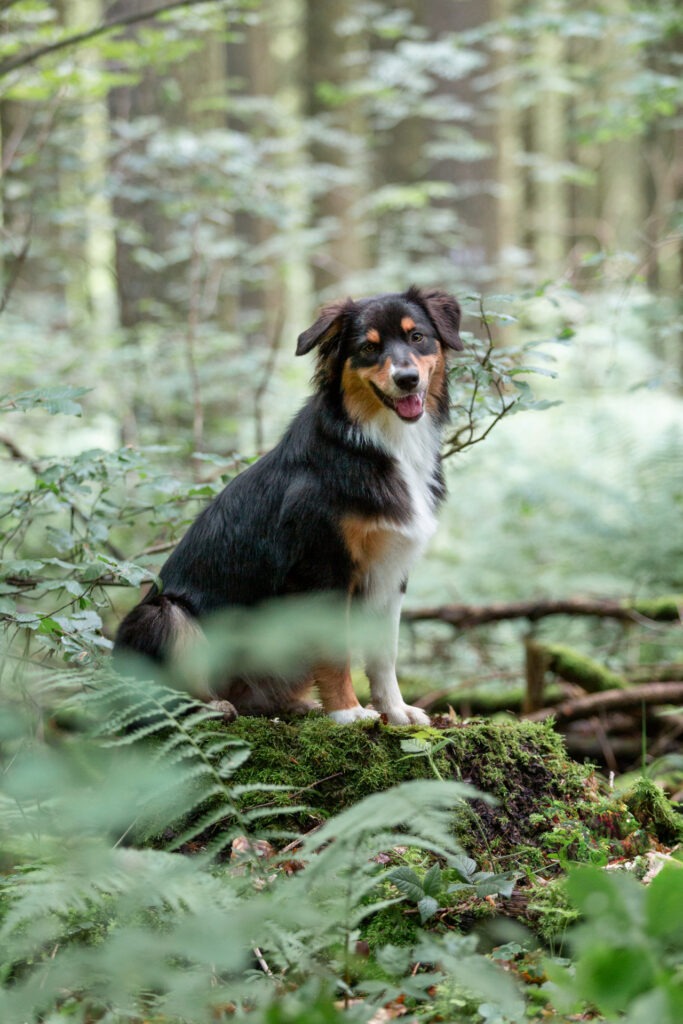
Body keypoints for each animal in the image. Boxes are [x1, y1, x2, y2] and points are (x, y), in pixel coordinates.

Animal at [113, 284, 464, 724]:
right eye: (368, 348)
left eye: (416, 337)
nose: (407, 379)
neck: (378, 440)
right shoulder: (322, 568)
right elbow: (335, 650)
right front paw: (348, 712)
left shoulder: (390, 569)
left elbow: (385, 651)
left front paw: (395, 711)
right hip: (162, 614)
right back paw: (212, 706)